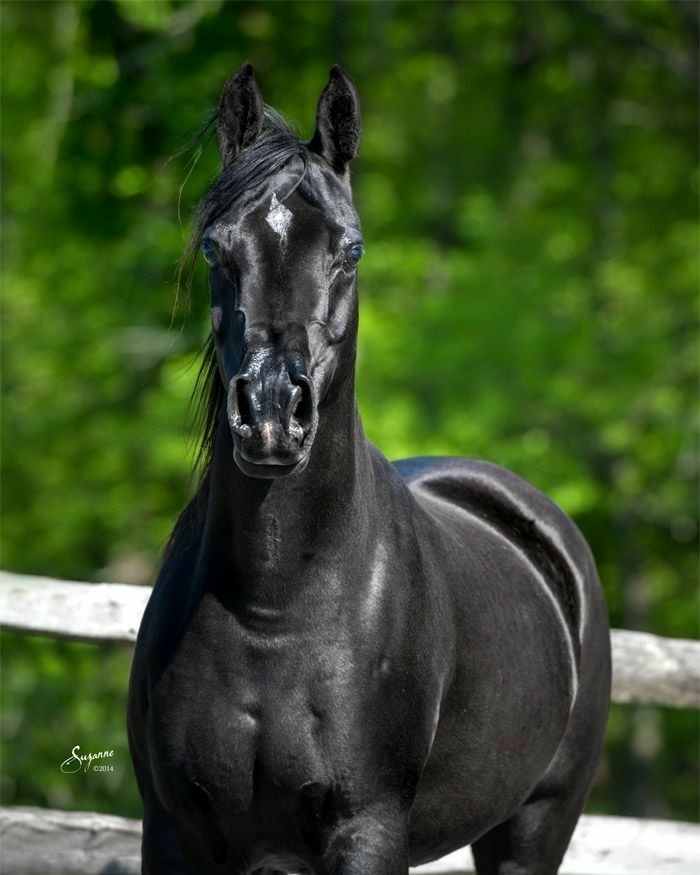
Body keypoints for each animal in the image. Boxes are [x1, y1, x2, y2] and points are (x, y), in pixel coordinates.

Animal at [127, 63, 610, 875]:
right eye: (217, 248)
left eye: (350, 249)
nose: (271, 412)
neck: (274, 607)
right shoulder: (174, 830)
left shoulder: (367, 827)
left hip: (536, 824)